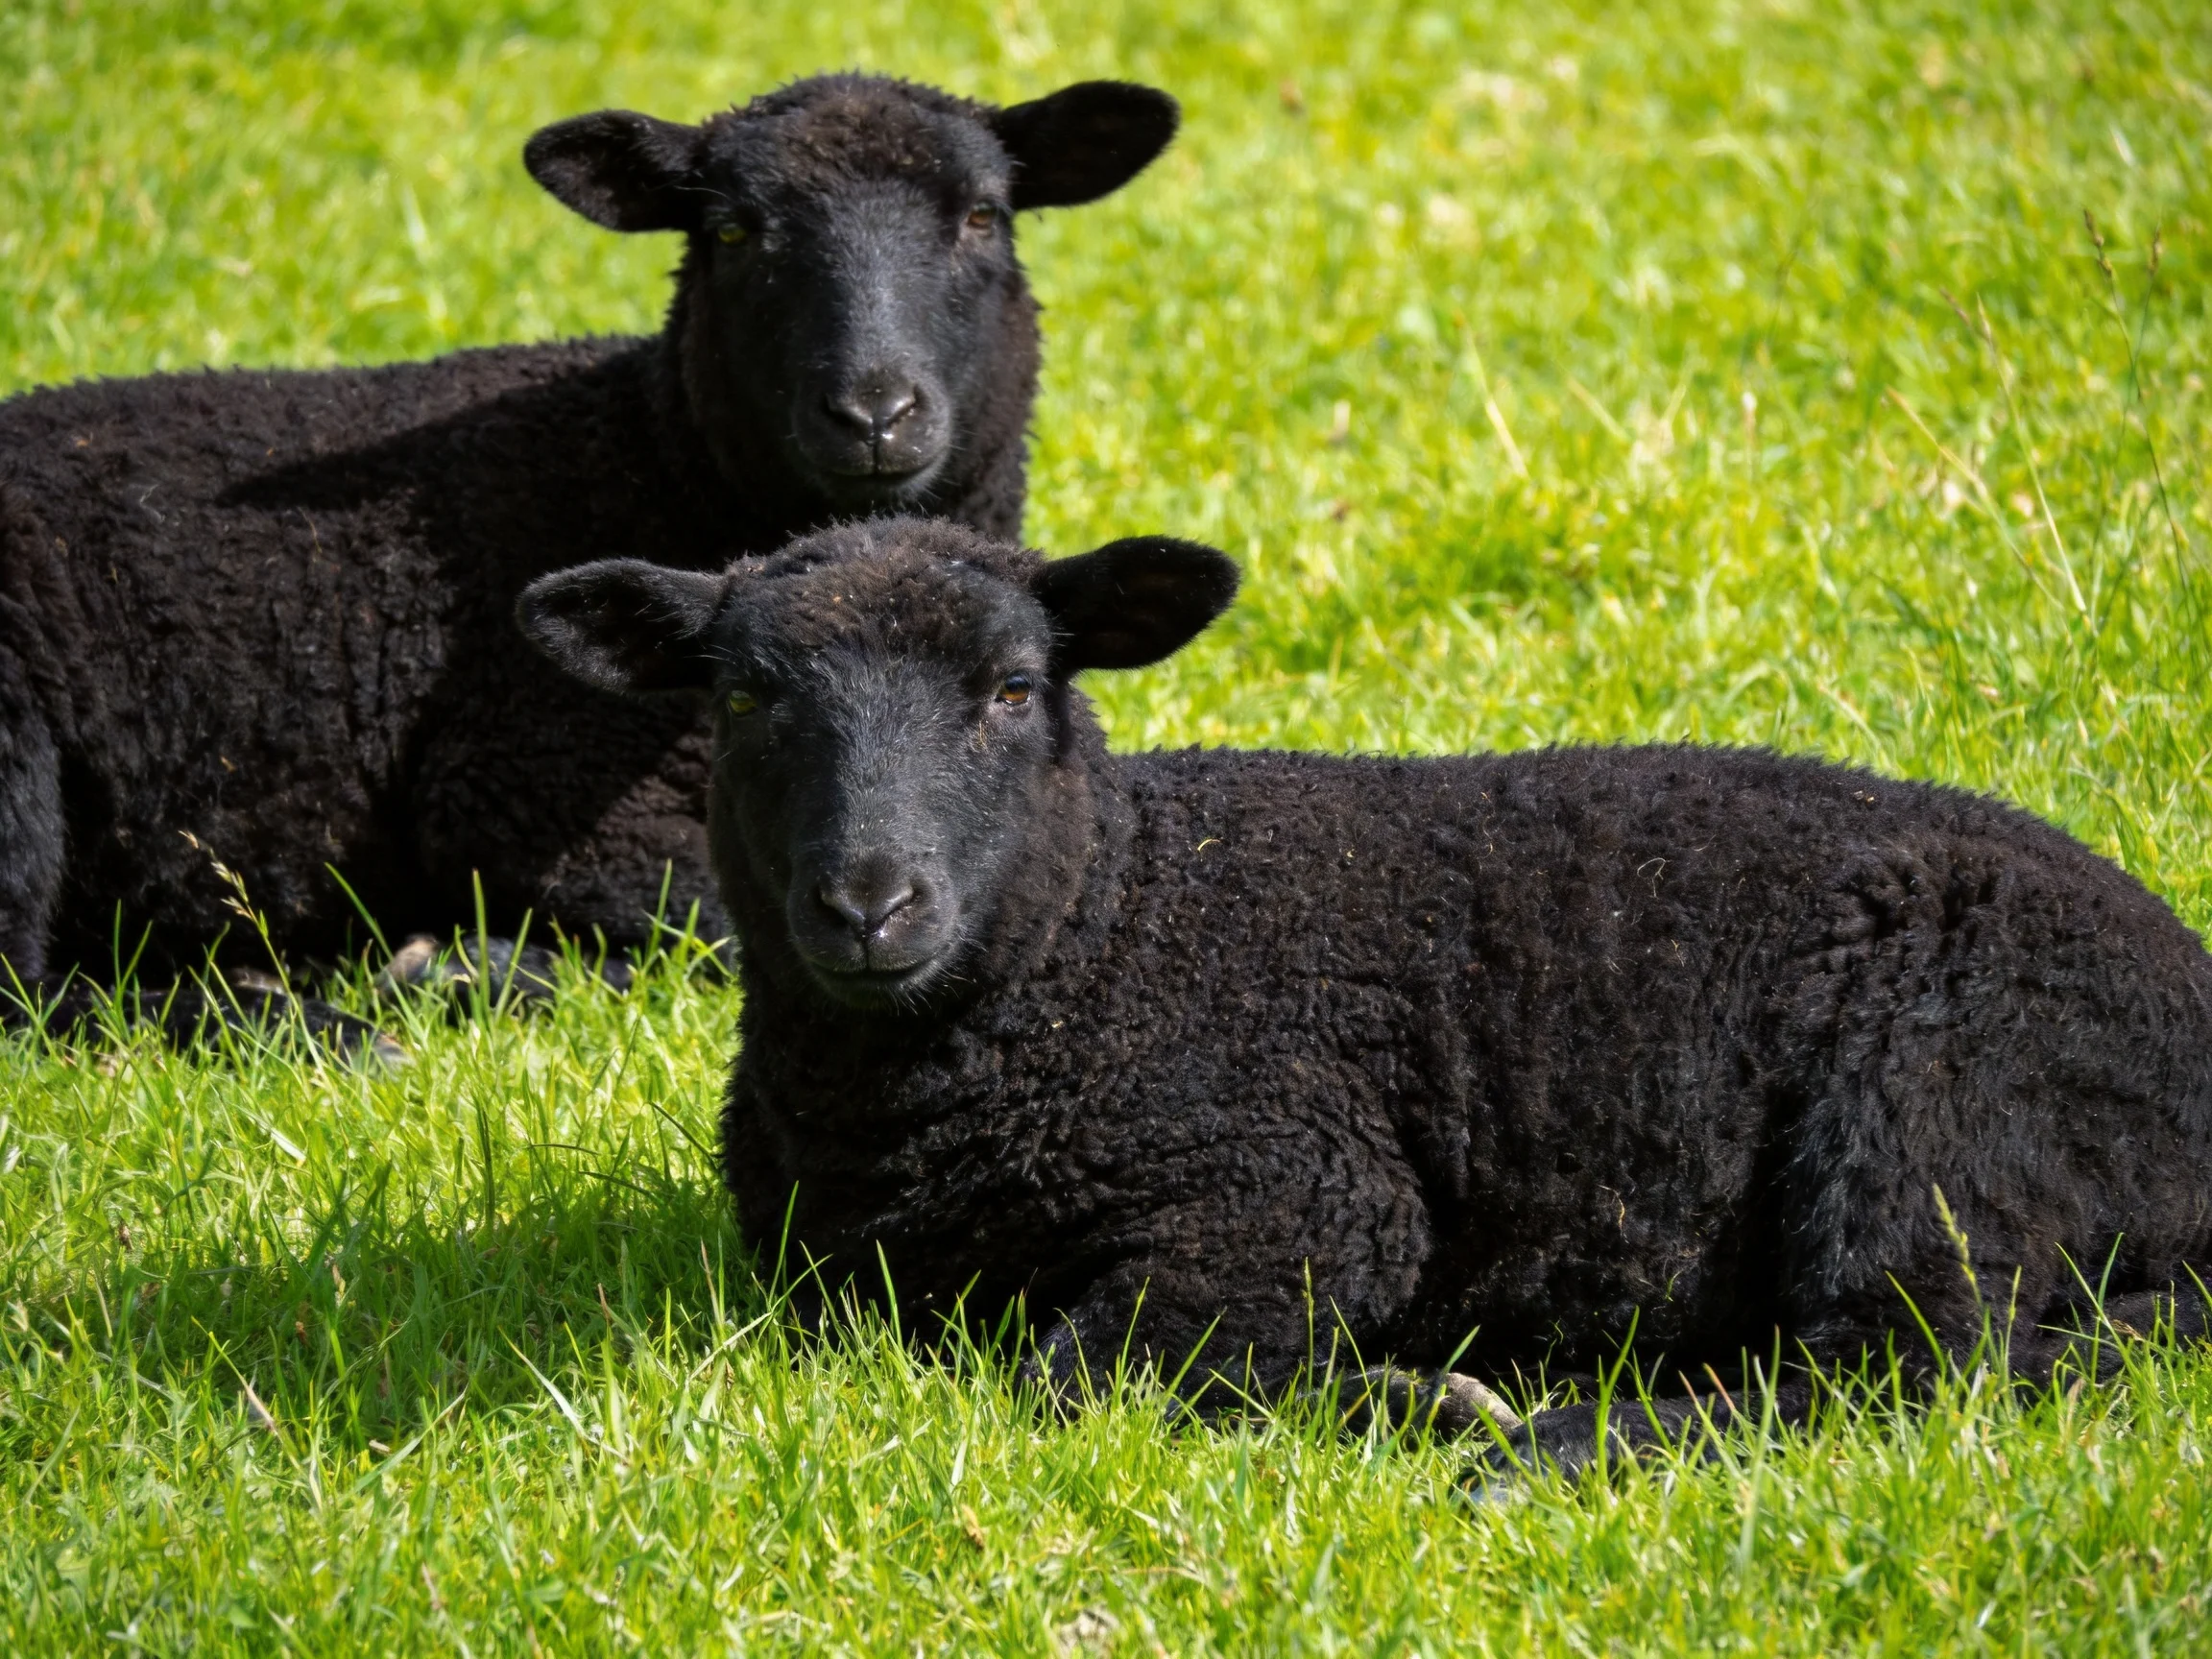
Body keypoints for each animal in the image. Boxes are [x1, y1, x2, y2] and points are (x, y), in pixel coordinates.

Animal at [0, 74, 1178, 1034]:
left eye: (983, 216)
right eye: (734, 231)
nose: (875, 414)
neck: (654, 457)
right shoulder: (531, 799)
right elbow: (719, 929)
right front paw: (464, 966)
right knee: (25, 992)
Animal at [516, 515, 2212, 1483]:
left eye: (1012, 689)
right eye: (747, 694)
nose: (871, 907)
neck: (1111, 933)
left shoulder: (1293, 1194)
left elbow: (1078, 1381)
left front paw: (1401, 1400)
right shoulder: (826, 1286)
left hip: (1941, 1097)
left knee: (1903, 1364)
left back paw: (1542, 1441)